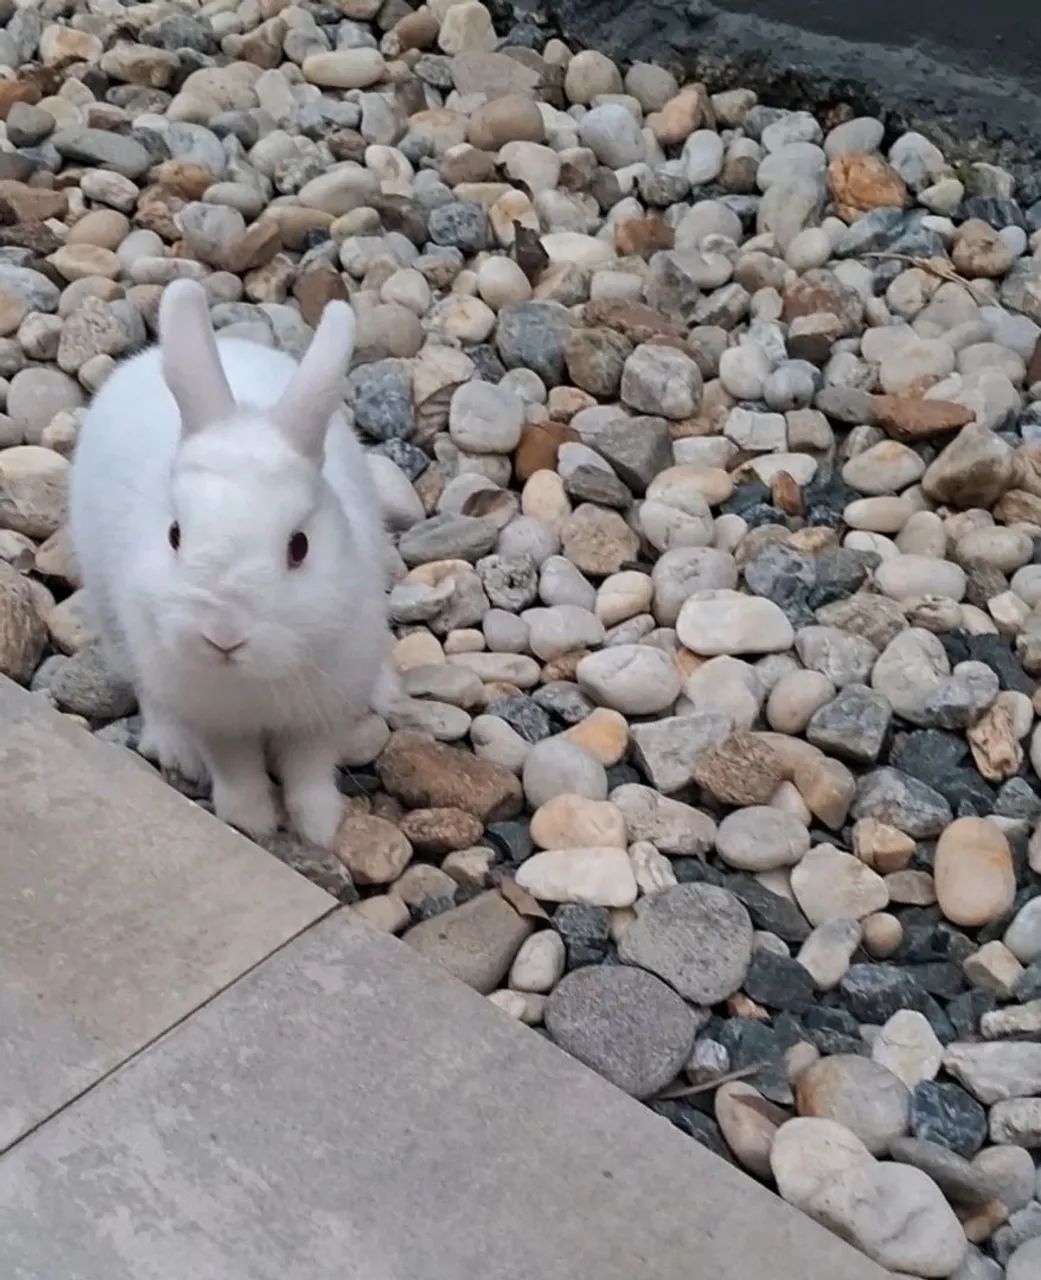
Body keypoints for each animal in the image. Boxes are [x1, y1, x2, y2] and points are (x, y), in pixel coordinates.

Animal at [69, 279, 394, 850]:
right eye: (175, 535)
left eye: (299, 547)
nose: (223, 636)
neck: (251, 681)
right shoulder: (216, 722)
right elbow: (236, 768)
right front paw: (253, 821)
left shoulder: (322, 713)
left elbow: (310, 770)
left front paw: (319, 828)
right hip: (117, 617)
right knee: (143, 686)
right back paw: (174, 750)